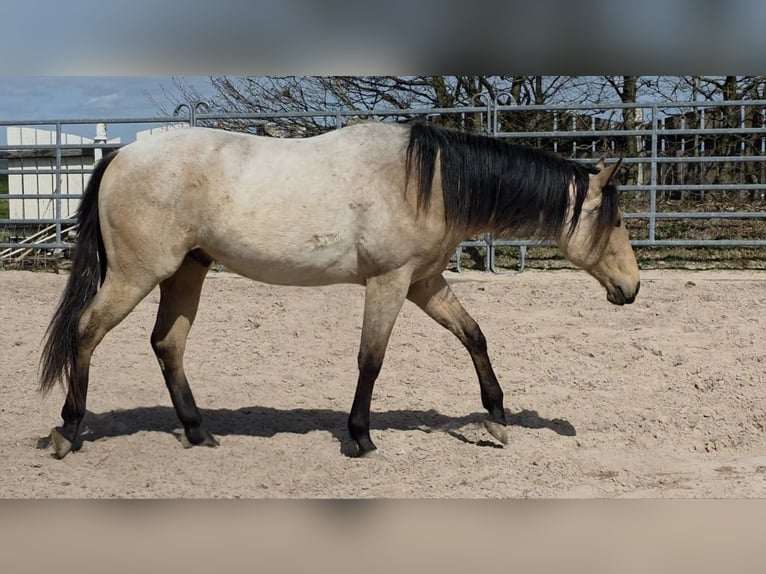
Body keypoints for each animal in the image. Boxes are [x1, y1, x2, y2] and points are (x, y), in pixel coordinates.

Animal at [38, 121, 640, 460]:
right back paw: (69, 430)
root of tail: (120, 155)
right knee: (86, 332)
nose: (631, 288)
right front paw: (362, 438)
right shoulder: (390, 282)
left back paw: (198, 432)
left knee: (168, 344)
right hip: (137, 275)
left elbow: (474, 336)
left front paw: (496, 419)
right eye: (614, 220)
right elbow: (371, 359)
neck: (427, 182)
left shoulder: (424, 282)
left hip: (187, 272)